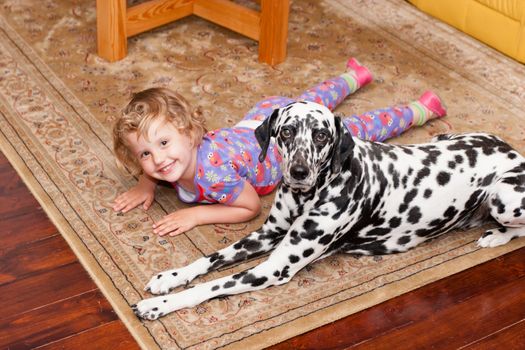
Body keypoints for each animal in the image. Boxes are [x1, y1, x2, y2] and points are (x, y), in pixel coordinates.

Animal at [132, 100, 524, 318]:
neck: (310, 193)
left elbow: (211, 286)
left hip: (503, 195)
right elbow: (209, 260)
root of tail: (510, 149)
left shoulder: (274, 267)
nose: (298, 172)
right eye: (286, 131)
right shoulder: (268, 234)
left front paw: (159, 306)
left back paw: (495, 236)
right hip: (446, 138)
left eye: (321, 135)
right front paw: (171, 276)